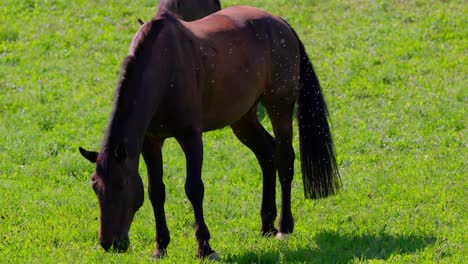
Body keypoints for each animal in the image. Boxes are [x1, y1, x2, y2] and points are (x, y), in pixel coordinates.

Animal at [78, 5, 338, 258]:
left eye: (120, 186)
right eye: (95, 187)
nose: (109, 243)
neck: (163, 69)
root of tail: (281, 23)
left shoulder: (191, 137)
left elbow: (194, 188)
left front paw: (204, 247)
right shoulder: (151, 142)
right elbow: (156, 191)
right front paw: (160, 247)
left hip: (279, 108)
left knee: (284, 159)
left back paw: (284, 227)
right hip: (243, 119)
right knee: (267, 155)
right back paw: (266, 224)